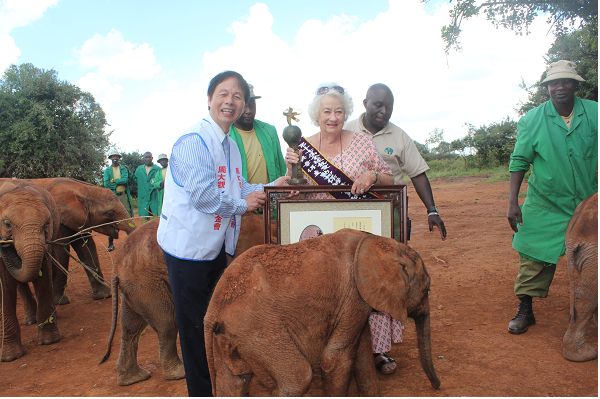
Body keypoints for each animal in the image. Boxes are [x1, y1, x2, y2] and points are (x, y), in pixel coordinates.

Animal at [204, 230, 438, 398]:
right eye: (427, 289)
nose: (437, 386)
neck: (380, 242)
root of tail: (214, 305)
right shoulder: (353, 294)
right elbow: (334, 357)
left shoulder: (356, 301)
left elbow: (361, 351)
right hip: (257, 329)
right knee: (297, 379)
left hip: (233, 336)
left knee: (233, 383)